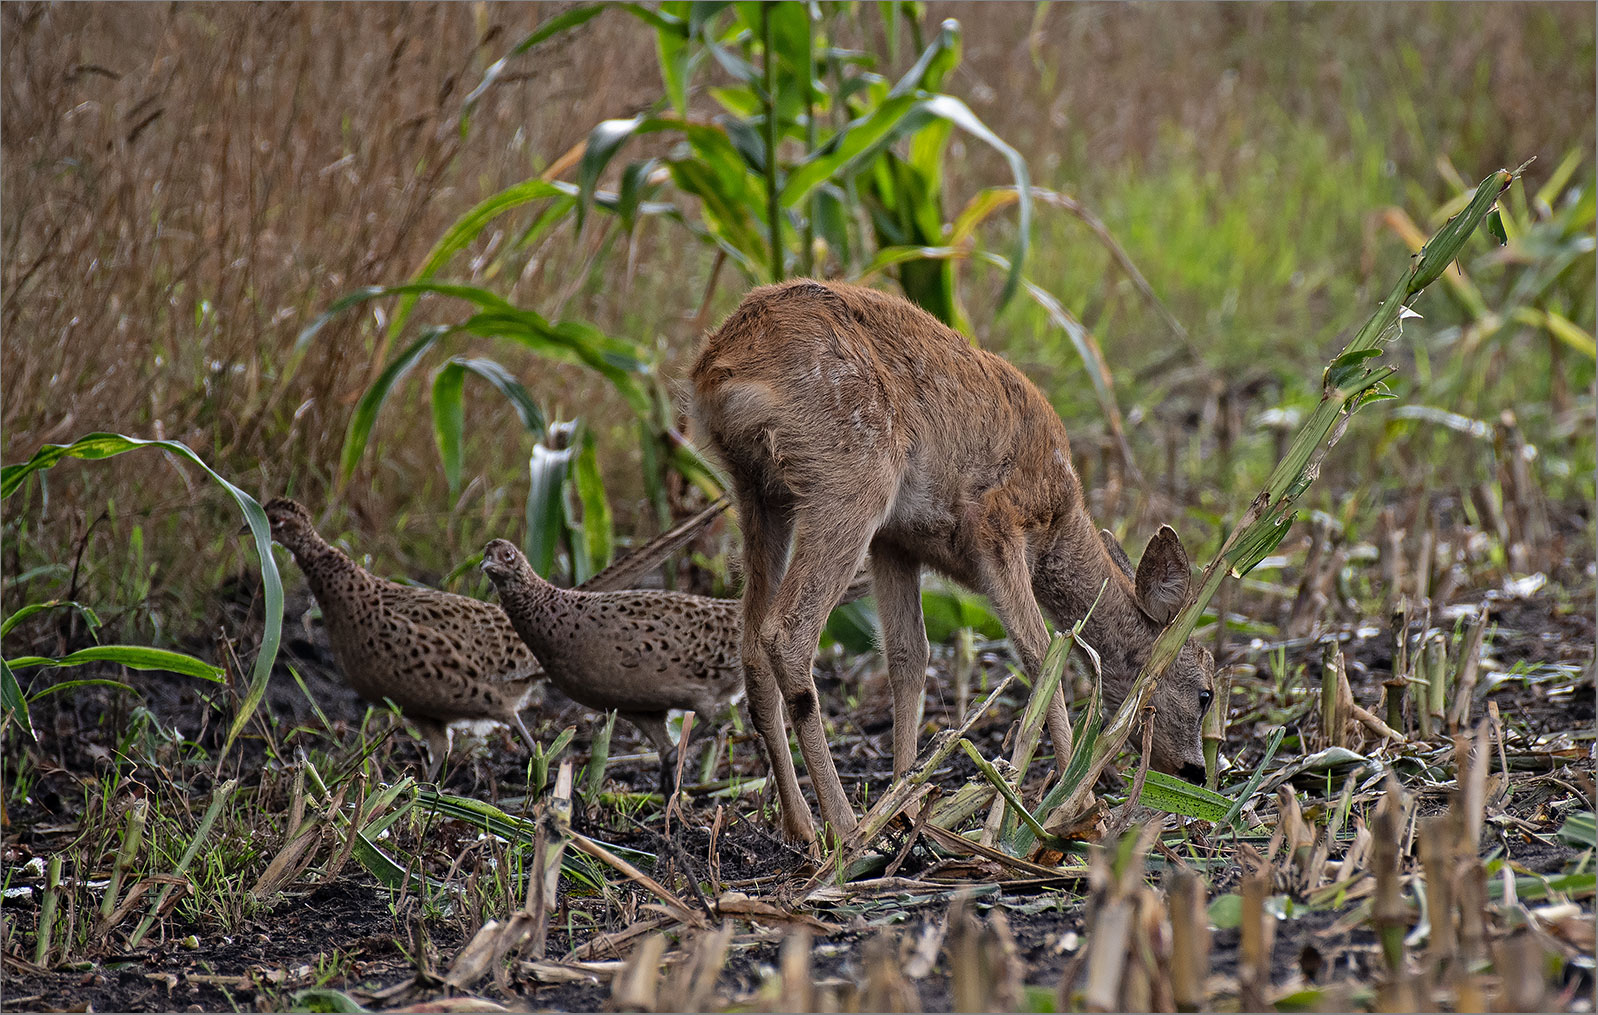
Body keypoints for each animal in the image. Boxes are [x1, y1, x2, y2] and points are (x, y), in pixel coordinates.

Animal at [693, 276, 1214, 843]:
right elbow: (1041, 652)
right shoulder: (998, 525)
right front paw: (1075, 810)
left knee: (750, 645)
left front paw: (906, 802)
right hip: (852, 476)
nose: (1197, 772)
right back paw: (846, 827)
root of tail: (722, 365)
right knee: (786, 632)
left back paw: (802, 826)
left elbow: (909, 655)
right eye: (1206, 694)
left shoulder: (896, 542)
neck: (1059, 523)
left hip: (760, 494)